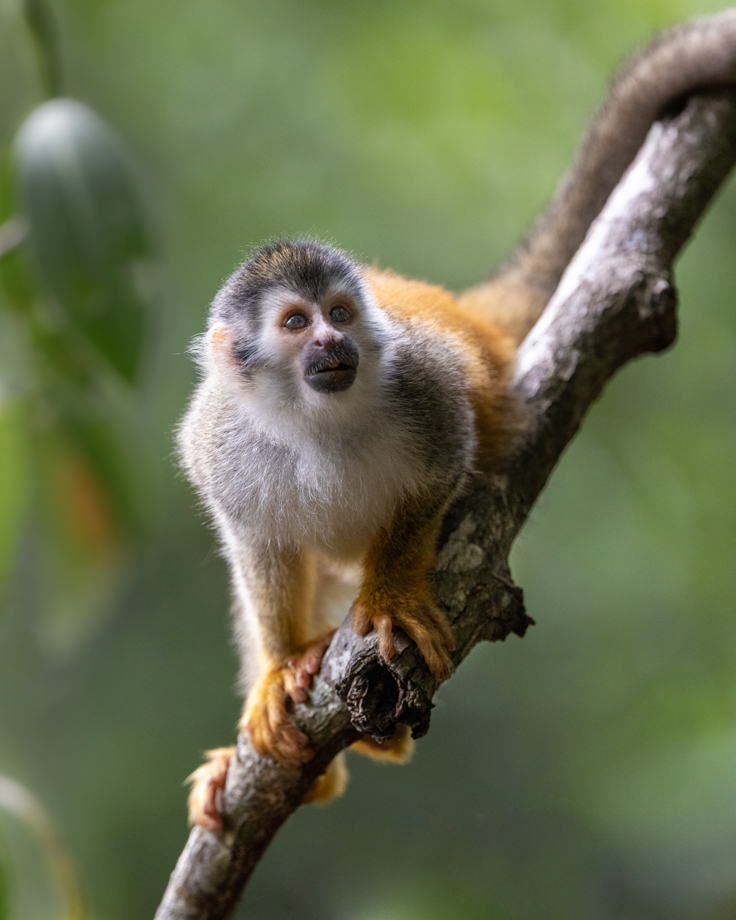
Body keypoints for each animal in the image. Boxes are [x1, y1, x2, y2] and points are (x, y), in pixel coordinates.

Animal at [178, 10, 736, 831]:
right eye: (295, 323)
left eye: (339, 313)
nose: (333, 343)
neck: (315, 416)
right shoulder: (217, 439)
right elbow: (257, 545)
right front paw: (280, 669)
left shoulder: (422, 383)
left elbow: (439, 472)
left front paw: (389, 598)